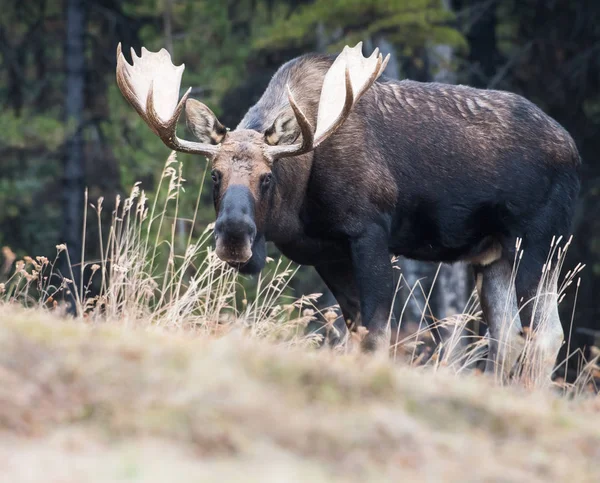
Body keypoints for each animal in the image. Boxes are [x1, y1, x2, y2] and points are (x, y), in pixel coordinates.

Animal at [115, 42, 580, 382]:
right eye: (215, 174)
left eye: (267, 176)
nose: (234, 234)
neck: (301, 201)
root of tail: (574, 152)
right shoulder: (327, 254)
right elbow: (356, 333)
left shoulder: (369, 232)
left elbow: (376, 335)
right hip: (494, 254)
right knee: (507, 337)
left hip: (538, 243)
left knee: (545, 335)